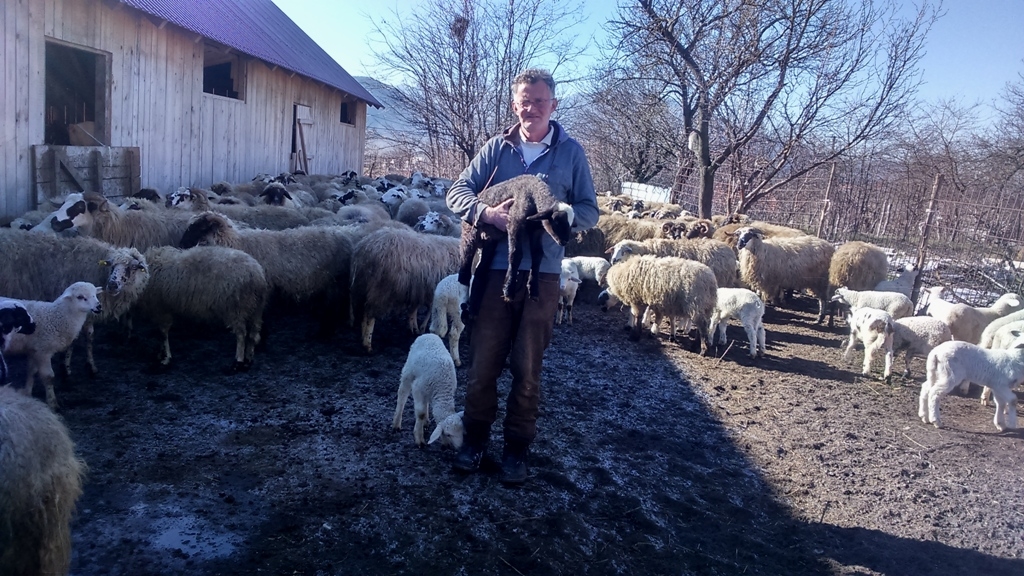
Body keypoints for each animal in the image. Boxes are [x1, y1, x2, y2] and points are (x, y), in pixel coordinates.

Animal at [138, 243, 270, 368]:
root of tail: (257, 275)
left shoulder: (161, 309)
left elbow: (163, 333)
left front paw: (166, 358)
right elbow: (160, 334)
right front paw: (161, 353)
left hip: (237, 308)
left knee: (241, 335)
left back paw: (238, 361)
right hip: (255, 308)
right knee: (253, 334)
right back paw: (248, 359)